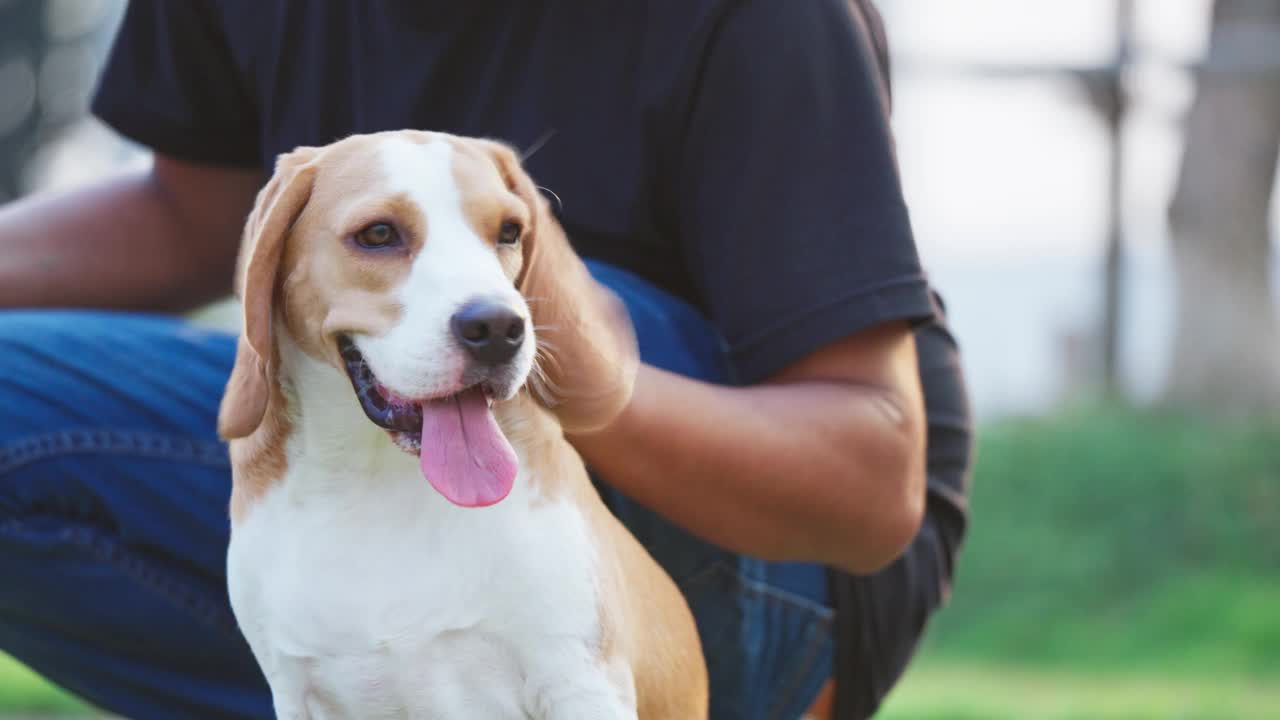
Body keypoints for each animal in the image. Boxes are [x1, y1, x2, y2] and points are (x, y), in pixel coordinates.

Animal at [215, 130, 706, 717]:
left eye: (510, 231)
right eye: (378, 234)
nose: (497, 328)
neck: (376, 483)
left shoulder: (579, 683)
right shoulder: (294, 689)